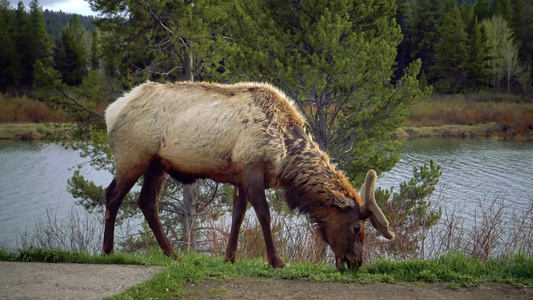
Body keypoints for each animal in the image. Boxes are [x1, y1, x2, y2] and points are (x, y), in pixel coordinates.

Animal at [105, 81, 394, 270]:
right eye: (357, 227)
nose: (355, 262)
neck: (285, 155)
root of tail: (111, 111)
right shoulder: (252, 169)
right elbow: (264, 215)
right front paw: (276, 261)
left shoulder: (239, 175)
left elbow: (238, 216)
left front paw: (229, 257)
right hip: (133, 155)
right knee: (113, 194)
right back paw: (108, 251)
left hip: (157, 165)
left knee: (147, 202)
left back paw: (171, 254)